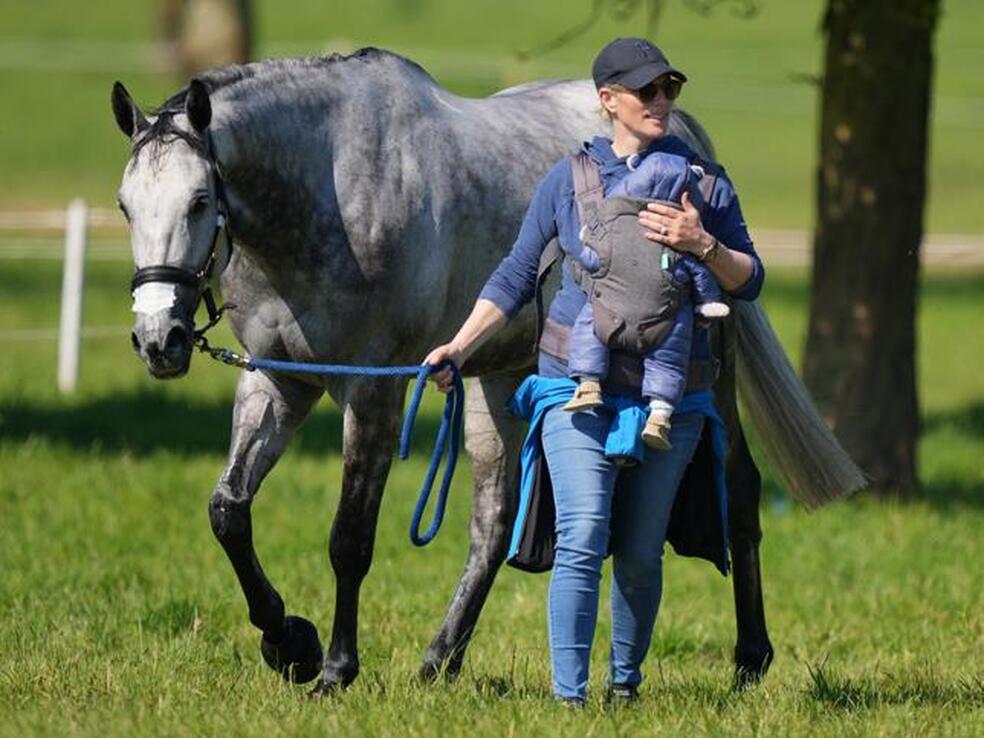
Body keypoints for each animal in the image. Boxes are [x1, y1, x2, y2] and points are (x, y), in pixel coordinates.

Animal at [109, 47, 860, 696]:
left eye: (200, 201)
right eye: (124, 205)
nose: (159, 339)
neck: (331, 189)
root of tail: (685, 140)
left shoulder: (374, 390)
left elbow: (349, 538)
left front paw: (334, 668)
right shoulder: (279, 382)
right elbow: (228, 512)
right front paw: (287, 641)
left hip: (706, 374)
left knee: (738, 489)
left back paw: (750, 659)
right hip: (496, 379)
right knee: (494, 521)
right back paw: (441, 658)